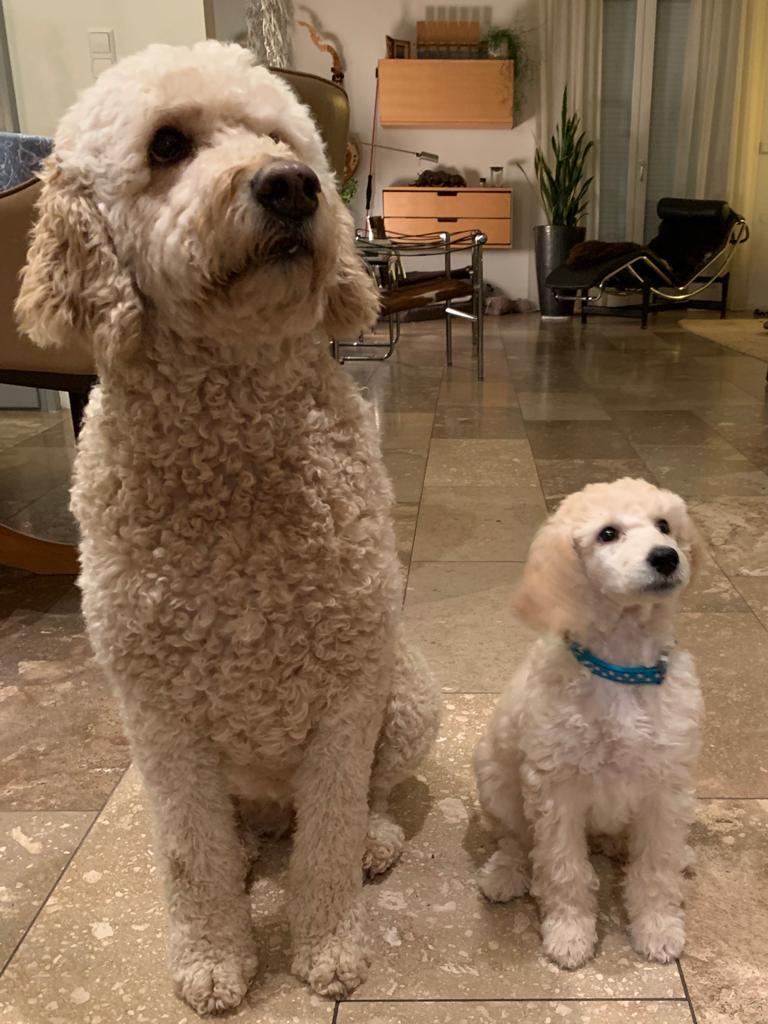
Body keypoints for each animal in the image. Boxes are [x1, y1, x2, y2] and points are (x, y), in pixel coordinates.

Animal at [16, 41, 440, 1015]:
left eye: (280, 137)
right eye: (167, 145)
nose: (292, 187)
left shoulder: (346, 699)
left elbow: (327, 845)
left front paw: (329, 949)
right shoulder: (161, 722)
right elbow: (190, 857)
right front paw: (213, 958)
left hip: (407, 698)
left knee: (370, 799)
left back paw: (375, 840)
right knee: (230, 831)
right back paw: (251, 848)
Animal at [474, 478, 703, 969]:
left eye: (664, 525)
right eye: (608, 534)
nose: (667, 557)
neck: (622, 668)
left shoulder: (665, 786)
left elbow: (656, 865)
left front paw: (658, 928)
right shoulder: (557, 789)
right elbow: (564, 867)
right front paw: (570, 934)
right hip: (495, 782)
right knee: (516, 841)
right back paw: (505, 874)